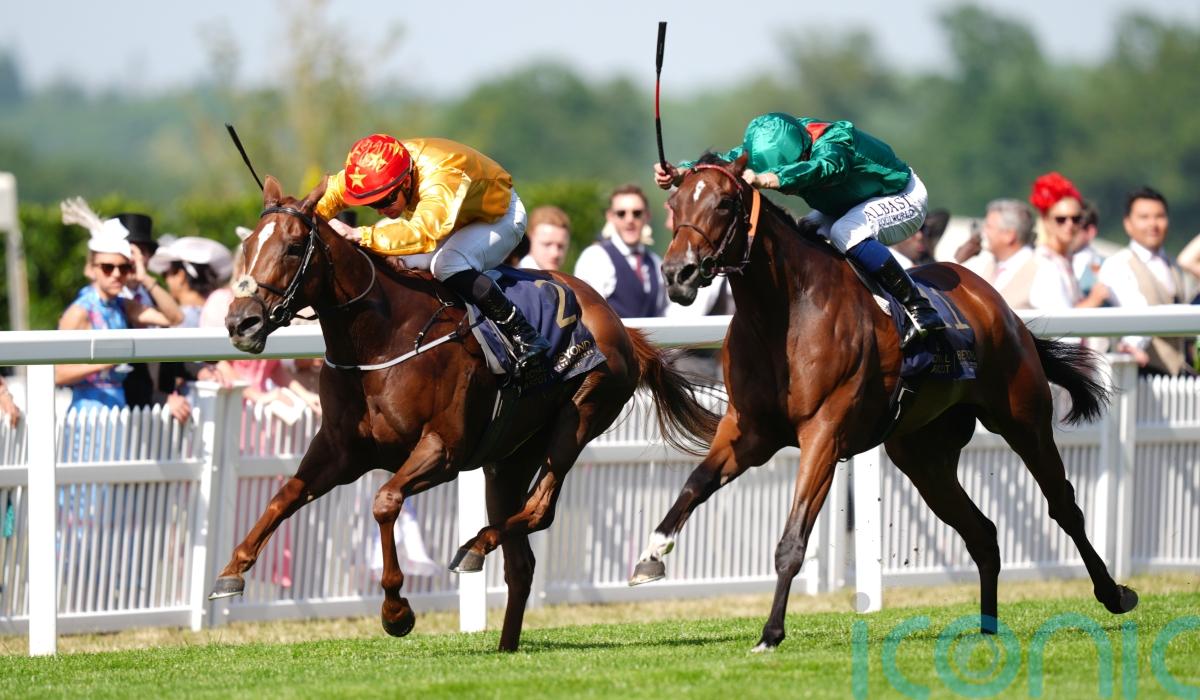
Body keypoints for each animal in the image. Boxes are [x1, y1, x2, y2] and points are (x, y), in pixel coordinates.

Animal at [210, 176, 720, 651]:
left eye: (294, 247)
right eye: (247, 246)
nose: (241, 322)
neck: (381, 339)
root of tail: (617, 323)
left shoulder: (444, 450)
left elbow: (384, 501)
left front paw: (396, 612)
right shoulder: (340, 451)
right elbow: (284, 496)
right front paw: (231, 571)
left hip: (578, 419)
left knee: (540, 510)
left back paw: (475, 546)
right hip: (509, 460)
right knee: (522, 562)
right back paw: (505, 642)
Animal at [629, 153, 1138, 652]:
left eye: (724, 204)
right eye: (674, 205)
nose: (677, 274)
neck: (784, 311)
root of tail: (1000, 306)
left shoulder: (824, 434)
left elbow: (792, 541)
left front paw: (771, 634)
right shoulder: (748, 432)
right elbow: (694, 485)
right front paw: (651, 554)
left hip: (1023, 419)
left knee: (1063, 506)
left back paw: (1114, 594)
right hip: (923, 456)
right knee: (983, 533)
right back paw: (988, 627)